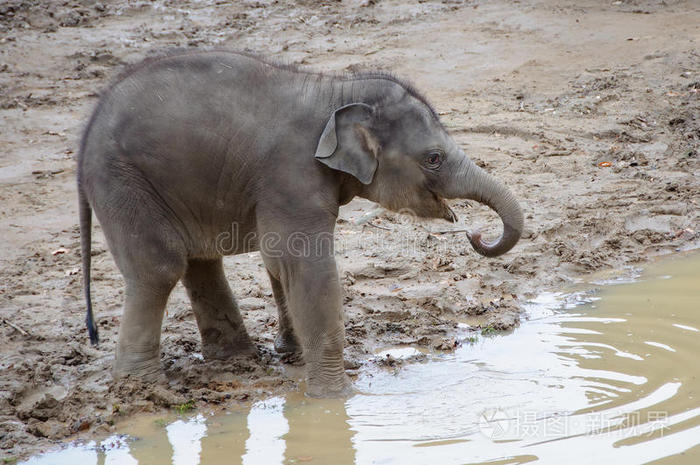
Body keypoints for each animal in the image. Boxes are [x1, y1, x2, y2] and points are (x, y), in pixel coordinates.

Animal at [79, 52, 524, 396]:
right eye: (434, 158)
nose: (474, 233)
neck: (338, 92)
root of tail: (86, 134)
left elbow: (278, 261)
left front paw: (291, 355)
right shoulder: (291, 175)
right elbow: (307, 266)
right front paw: (336, 397)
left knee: (200, 263)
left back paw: (235, 359)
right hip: (124, 182)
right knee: (158, 270)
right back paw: (141, 386)